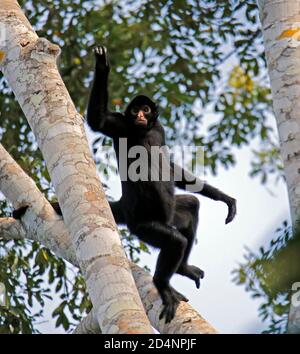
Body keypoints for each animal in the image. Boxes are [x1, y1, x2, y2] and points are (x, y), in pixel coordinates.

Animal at [12, 46, 237, 324]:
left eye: (146, 110)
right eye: (134, 111)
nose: (139, 115)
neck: (144, 131)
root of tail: (126, 206)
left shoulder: (159, 129)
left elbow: (170, 167)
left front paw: (221, 196)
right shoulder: (121, 126)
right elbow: (98, 121)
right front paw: (102, 65)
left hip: (169, 213)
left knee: (191, 206)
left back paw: (182, 268)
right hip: (142, 225)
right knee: (174, 240)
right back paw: (162, 284)